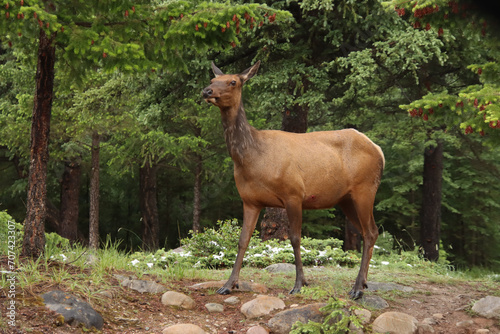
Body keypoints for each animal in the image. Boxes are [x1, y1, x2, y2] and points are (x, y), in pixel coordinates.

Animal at [201, 60, 384, 300]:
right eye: (212, 79)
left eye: (233, 82)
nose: (206, 91)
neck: (252, 159)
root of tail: (379, 150)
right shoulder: (250, 200)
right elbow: (243, 241)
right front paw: (228, 284)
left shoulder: (294, 193)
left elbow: (295, 239)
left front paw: (299, 284)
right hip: (345, 199)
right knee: (368, 232)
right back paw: (362, 283)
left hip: (365, 188)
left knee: (371, 231)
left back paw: (356, 289)